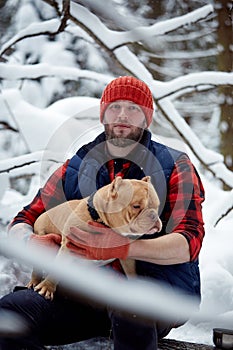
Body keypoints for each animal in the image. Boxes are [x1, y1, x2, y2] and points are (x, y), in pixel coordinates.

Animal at [27, 176, 162, 300]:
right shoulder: (69, 246)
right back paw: (34, 281)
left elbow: (131, 272)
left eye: (157, 206)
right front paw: (47, 287)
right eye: (136, 206)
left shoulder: (127, 256)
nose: (154, 215)